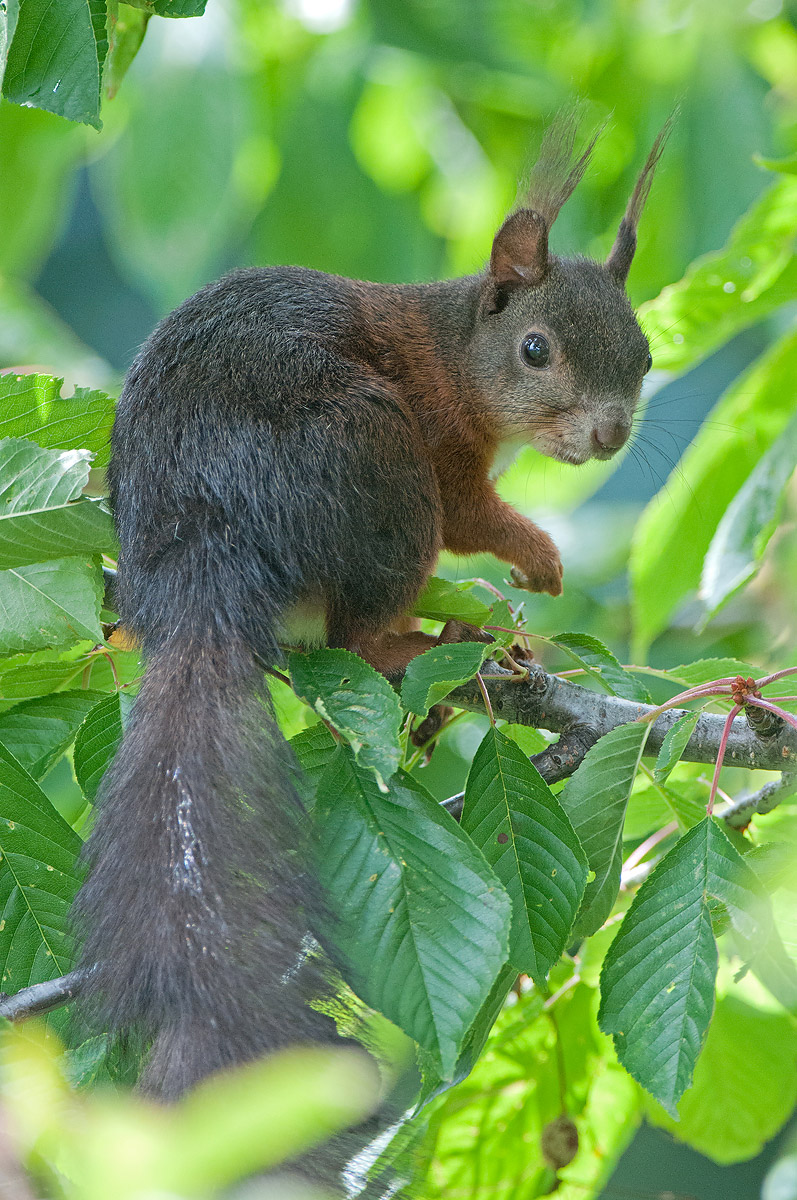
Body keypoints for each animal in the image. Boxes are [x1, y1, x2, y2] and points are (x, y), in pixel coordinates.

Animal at [74, 114, 667, 1128]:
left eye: (646, 357)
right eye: (535, 350)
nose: (607, 435)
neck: (451, 348)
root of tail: (200, 552)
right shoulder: (442, 443)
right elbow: (472, 518)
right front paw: (537, 558)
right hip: (381, 466)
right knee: (358, 634)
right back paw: (438, 642)